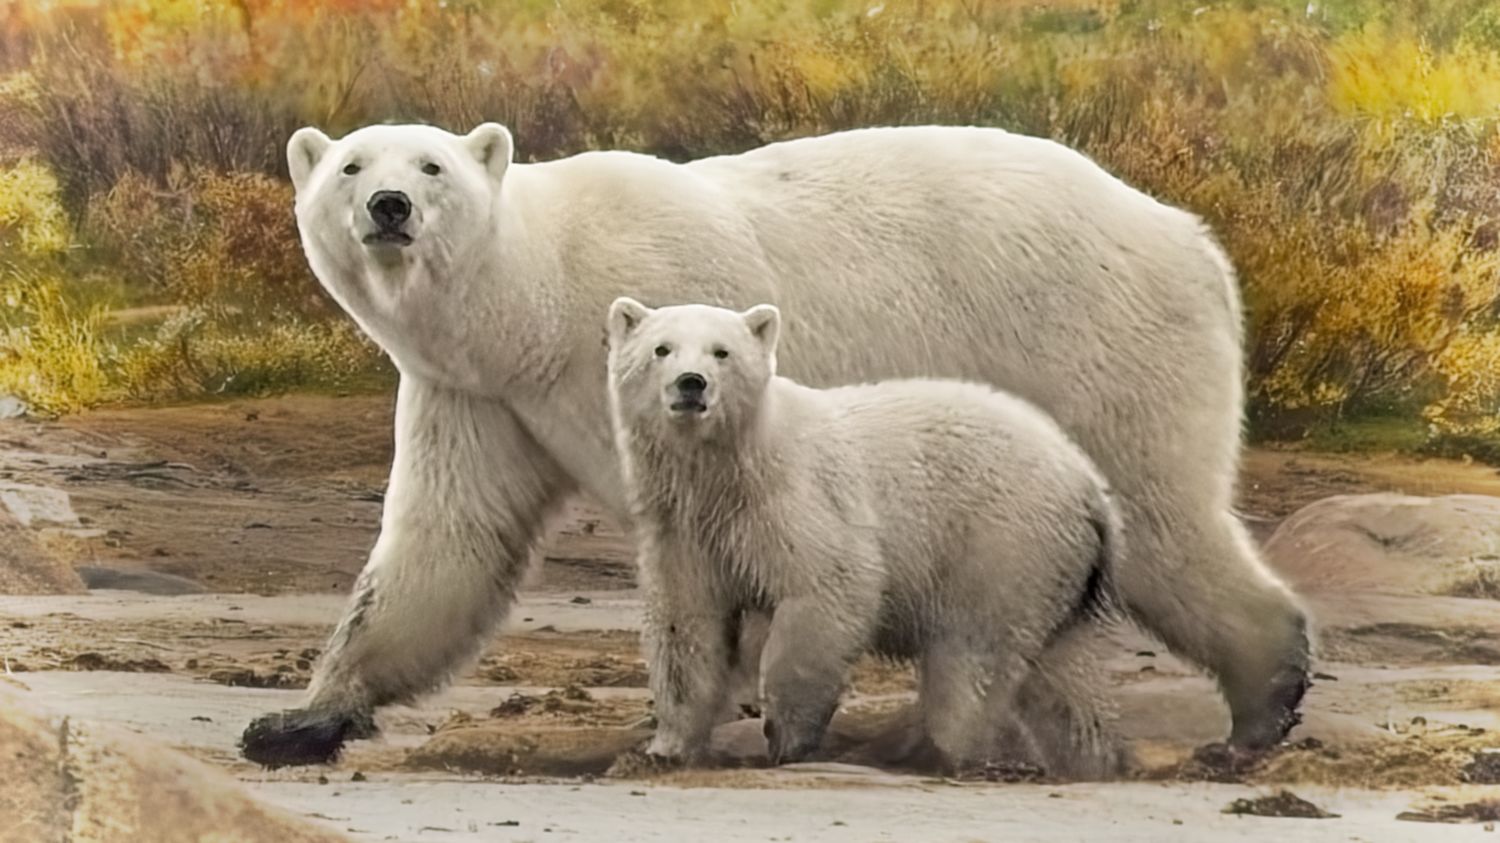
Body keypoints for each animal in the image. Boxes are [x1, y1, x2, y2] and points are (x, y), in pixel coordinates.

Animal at [605, 297, 1122, 774]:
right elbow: (686, 623)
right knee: (1062, 678)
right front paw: (666, 748)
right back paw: (1088, 759)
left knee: (973, 654)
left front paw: (786, 737)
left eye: (722, 351)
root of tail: (1092, 489)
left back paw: (938, 751)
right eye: (661, 349)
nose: (691, 383)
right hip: (1054, 569)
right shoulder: (684, 527)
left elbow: (828, 591)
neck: (731, 468)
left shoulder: (793, 502)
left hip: (1002, 542)